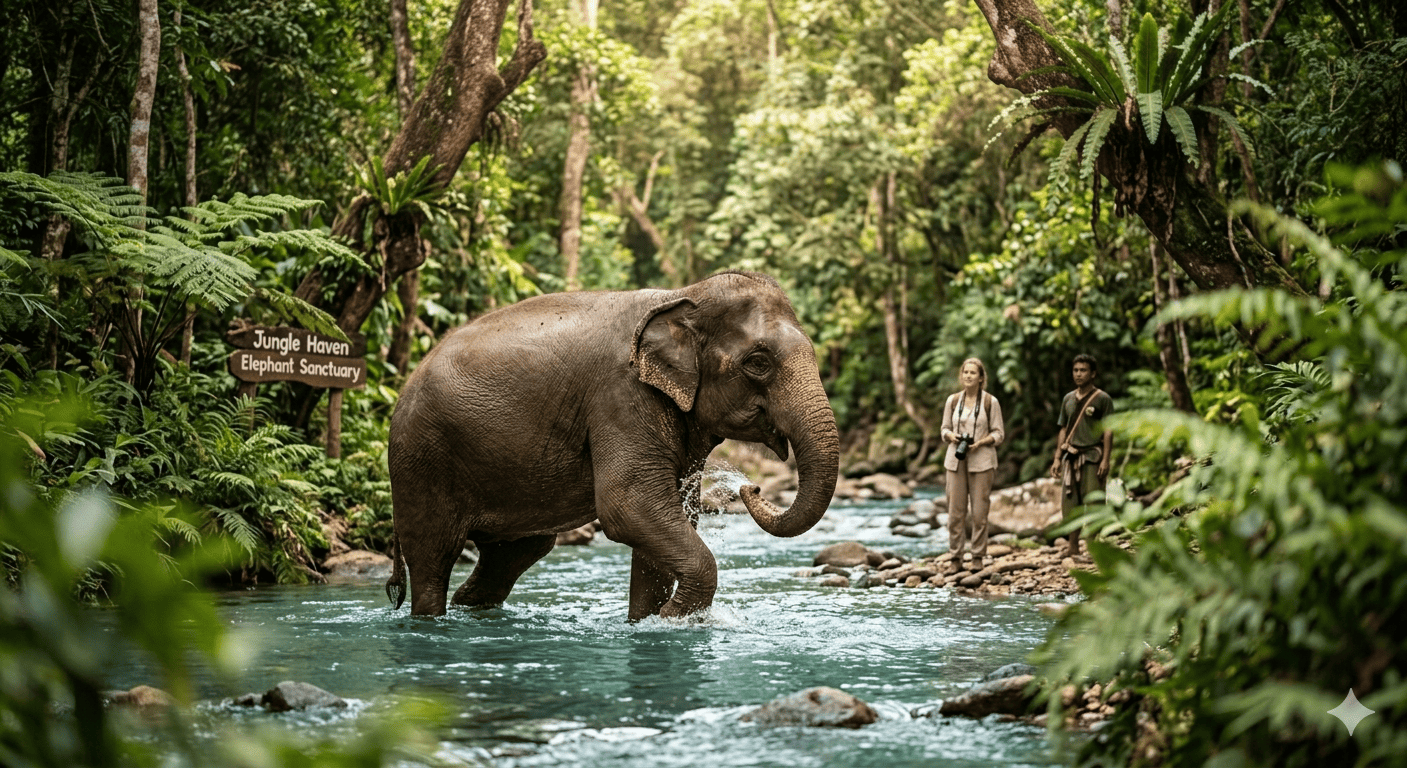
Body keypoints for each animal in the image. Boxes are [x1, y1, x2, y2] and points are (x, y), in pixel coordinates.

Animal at [385, 270, 840, 620]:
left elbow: (668, 517)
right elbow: (630, 506)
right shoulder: (621, 396)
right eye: (758, 363)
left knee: (513, 554)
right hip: (421, 458)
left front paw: (648, 623)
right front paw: (673, 618)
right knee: (433, 557)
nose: (750, 486)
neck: (683, 294)